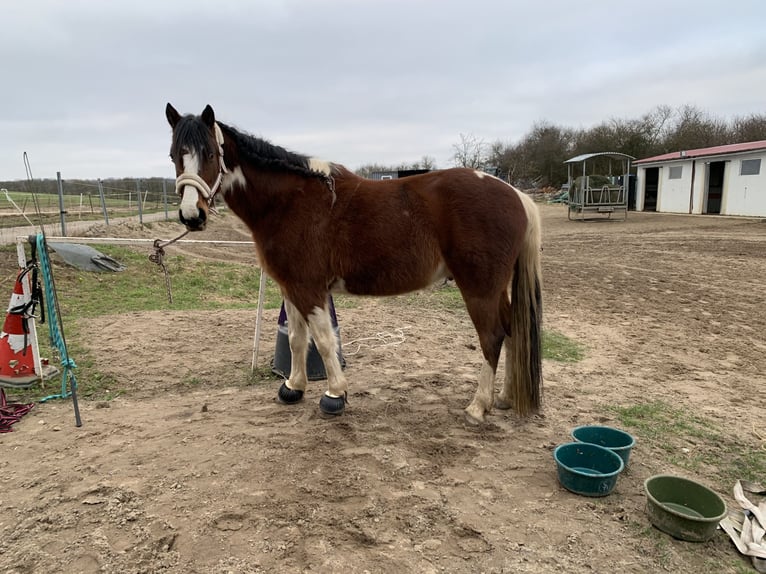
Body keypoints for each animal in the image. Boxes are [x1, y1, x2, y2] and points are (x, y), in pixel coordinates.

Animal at [165, 103, 544, 428]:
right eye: (173, 155)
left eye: (210, 154)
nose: (191, 216)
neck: (289, 202)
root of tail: (516, 194)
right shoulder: (290, 286)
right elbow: (298, 340)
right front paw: (293, 387)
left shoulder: (310, 289)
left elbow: (323, 340)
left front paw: (334, 395)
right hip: (496, 289)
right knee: (513, 331)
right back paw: (505, 398)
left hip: (480, 288)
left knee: (492, 337)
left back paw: (478, 407)